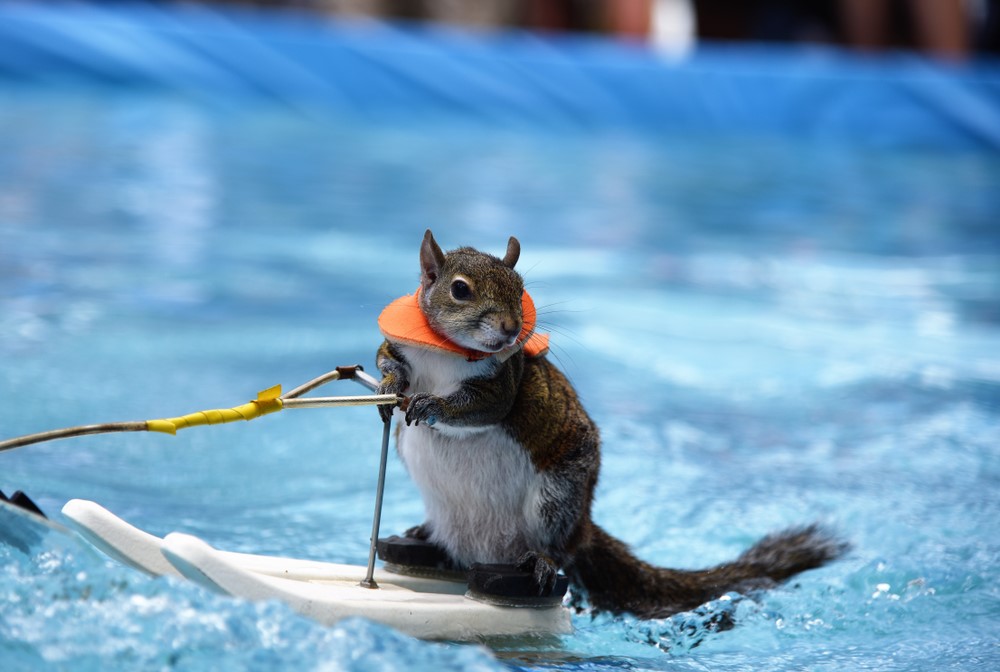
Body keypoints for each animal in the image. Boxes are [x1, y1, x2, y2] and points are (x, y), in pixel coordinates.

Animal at [375, 230, 847, 619]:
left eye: (521, 288)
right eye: (459, 289)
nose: (511, 329)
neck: (445, 352)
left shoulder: (504, 383)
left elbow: (484, 409)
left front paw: (434, 405)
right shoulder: (399, 347)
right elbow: (388, 361)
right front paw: (388, 385)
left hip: (556, 498)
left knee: (558, 549)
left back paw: (542, 561)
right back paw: (422, 537)